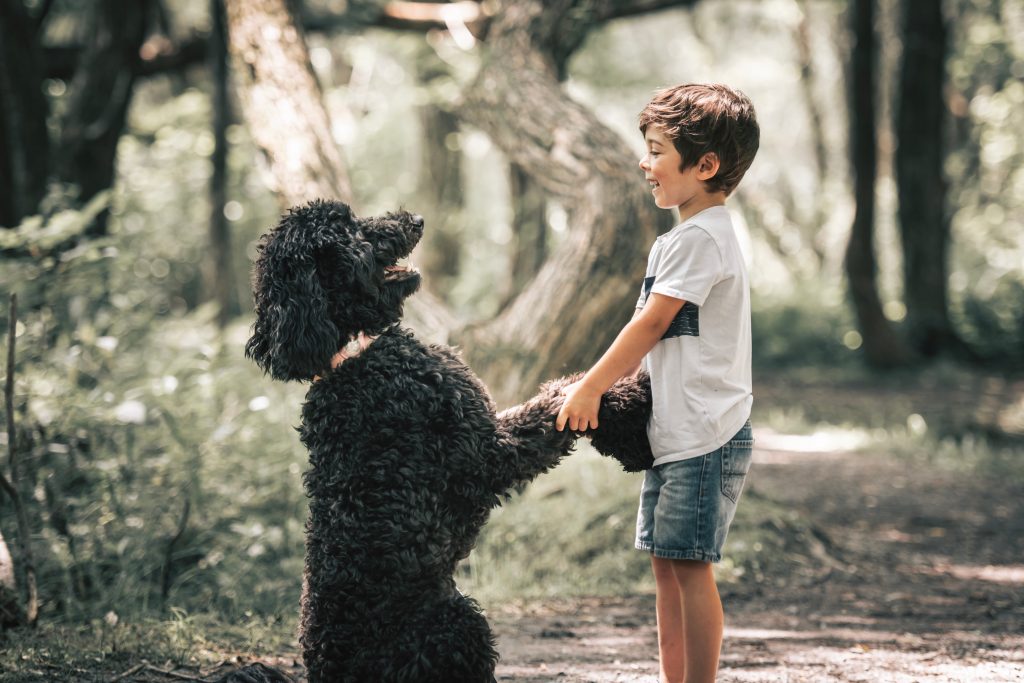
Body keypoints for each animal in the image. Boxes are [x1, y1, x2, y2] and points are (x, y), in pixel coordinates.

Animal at [243, 201, 651, 683]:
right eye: (349, 229)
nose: (415, 219)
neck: (354, 357)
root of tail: (325, 672)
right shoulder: (486, 453)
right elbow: (560, 401)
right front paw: (632, 408)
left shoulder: (487, 424)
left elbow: (552, 398)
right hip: (456, 623)